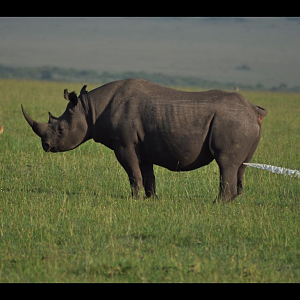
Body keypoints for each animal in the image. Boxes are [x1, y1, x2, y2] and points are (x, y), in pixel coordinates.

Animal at [22, 78, 268, 203]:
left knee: (225, 163)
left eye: (61, 129)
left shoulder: (123, 143)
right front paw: (152, 199)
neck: (89, 108)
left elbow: (133, 172)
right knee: (240, 166)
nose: (46, 146)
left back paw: (216, 204)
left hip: (233, 122)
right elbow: (147, 174)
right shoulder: (144, 147)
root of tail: (254, 110)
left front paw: (134, 200)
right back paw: (230, 202)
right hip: (242, 123)